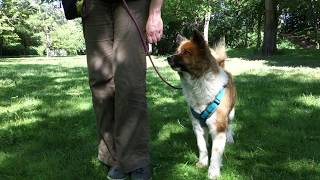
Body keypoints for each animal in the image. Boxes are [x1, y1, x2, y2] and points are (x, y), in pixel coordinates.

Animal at [166, 30, 236, 179]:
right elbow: (201, 146)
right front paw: (202, 163)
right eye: (177, 51)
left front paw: (213, 172)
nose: (168, 58)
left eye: (187, 52)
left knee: (230, 125)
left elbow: (216, 153)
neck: (198, 82)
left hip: (231, 113)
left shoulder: (218, 127)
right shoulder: (197, 125)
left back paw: (229, 138)